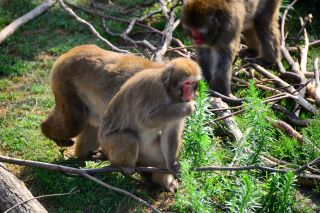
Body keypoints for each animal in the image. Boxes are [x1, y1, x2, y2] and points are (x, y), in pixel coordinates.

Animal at [99, 57, 201, 191]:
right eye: (187, 83)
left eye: (193, 83)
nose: (190, 94)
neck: (168, 91)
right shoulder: (154, 90)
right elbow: (145, 121)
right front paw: (188, 107)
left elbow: (171, 132)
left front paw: (172, 165)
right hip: (108, 145)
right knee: (129, 138)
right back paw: (124, 166)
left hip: (146, 155)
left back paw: (164, 182)